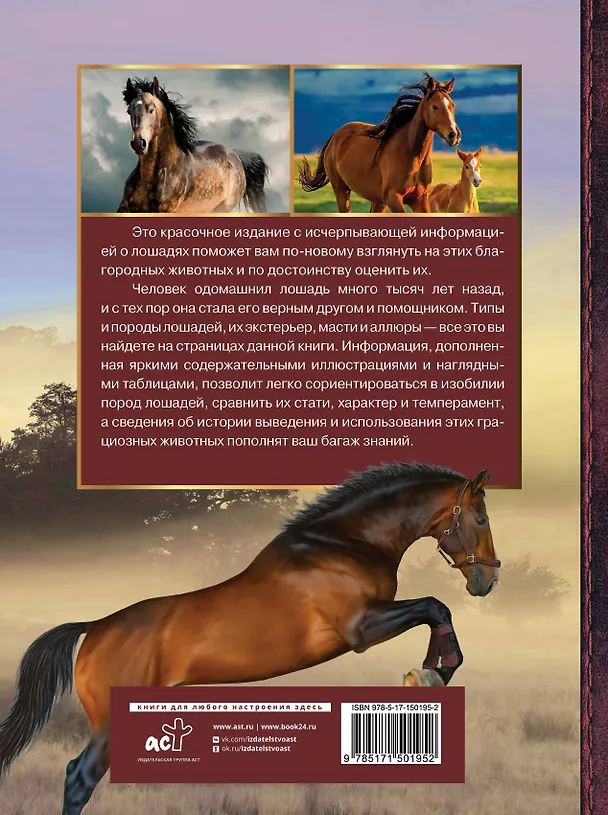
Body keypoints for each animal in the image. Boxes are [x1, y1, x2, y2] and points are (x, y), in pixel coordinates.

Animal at [0, 463, 500, 813]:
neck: (343, 544)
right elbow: (435, 606)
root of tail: (95, 626)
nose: (487, 581)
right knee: (79, 778)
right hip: (109, 727)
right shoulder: (361, 627)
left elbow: (434, 610)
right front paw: (434, 672)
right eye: (479, 517)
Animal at [117, 77, 270, 213]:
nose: (138, 143)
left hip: (222, 208)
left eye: (151, 109)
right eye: (129, 111)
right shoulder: (124, 208)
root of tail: (236, 155)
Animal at [297, 73, 461, 214]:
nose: (454, 135)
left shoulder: (419, 201)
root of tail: (335, 136)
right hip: (341, 190)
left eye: (452, 105)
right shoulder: (394, 199)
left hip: (378, 201)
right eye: (434, 106)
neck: (410, 154)